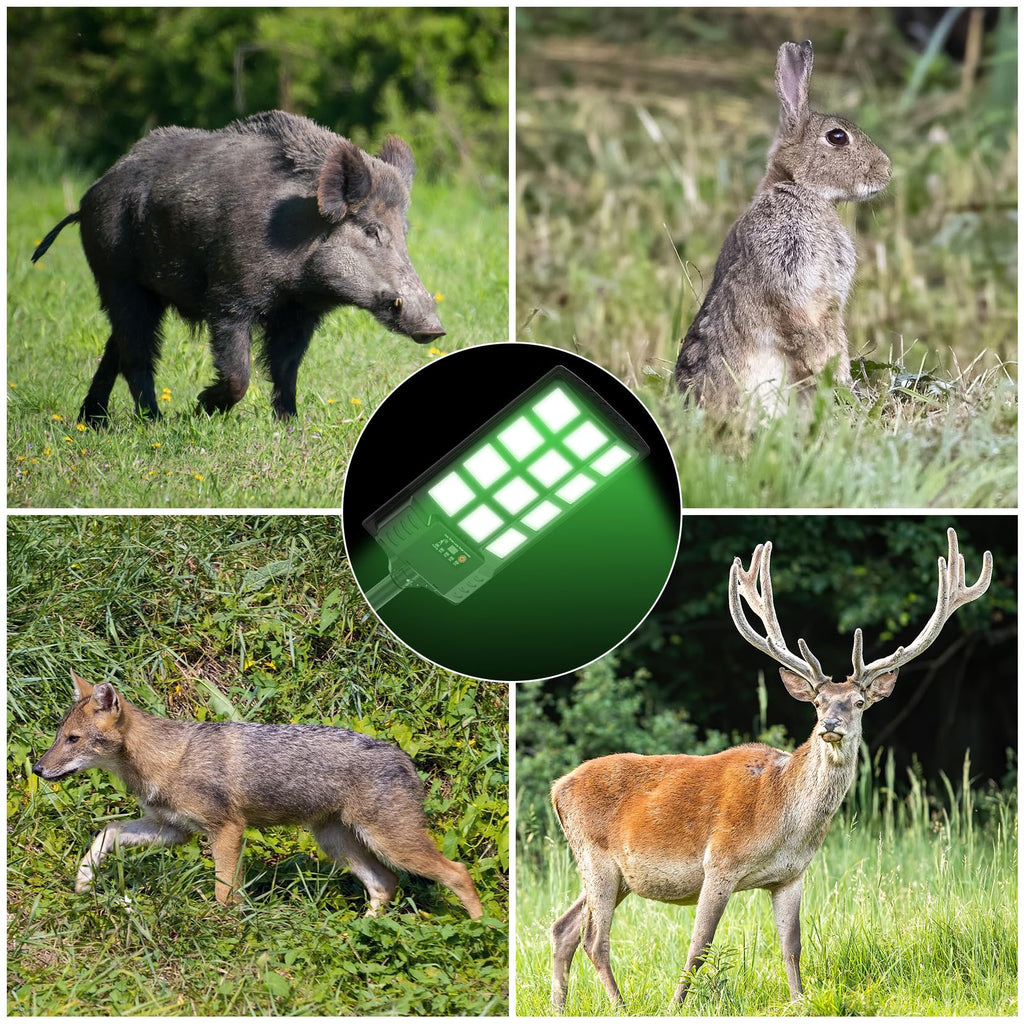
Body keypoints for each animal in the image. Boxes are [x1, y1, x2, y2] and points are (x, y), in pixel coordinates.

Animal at [550, 528, 992, 1011]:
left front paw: (800, 1003)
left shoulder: (792, 875)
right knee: (594, 939)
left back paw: (560, 1005)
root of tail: (557, 788)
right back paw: (620, 1006)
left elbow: (791, 945)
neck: (784, 820)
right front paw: (674, 1006)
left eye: (859, 702)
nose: (830, 725)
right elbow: (699, 946)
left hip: (613, 874)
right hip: (596, 857)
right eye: (817, 701)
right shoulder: (720, 862)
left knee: (563, 928)